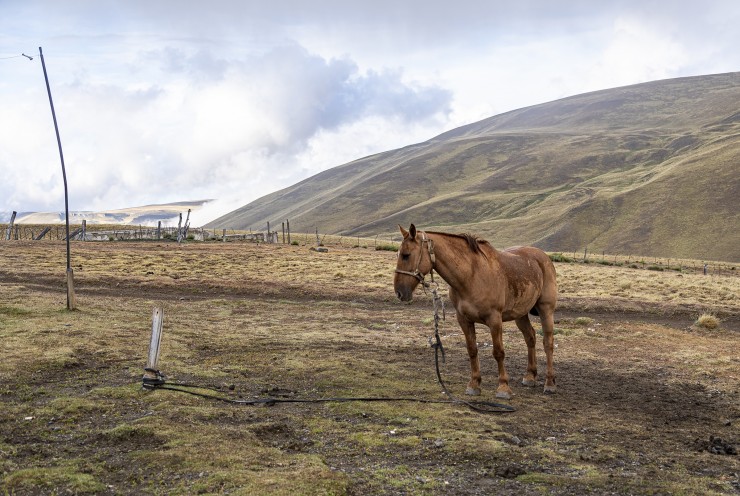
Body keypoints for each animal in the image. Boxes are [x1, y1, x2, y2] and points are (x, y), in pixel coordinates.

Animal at [394, 225, 556, 400]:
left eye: (406, 255)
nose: (399, 292)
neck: (471, 276)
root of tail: (543, 257)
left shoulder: (494, 320)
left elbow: (498, 352)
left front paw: (503, 387)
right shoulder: (464, 320)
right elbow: (472, 350)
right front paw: (474, 384)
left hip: (546, 310)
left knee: (548, 343)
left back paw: (549, 383)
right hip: (520, 314)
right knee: (530, 337)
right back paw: (530, 376)